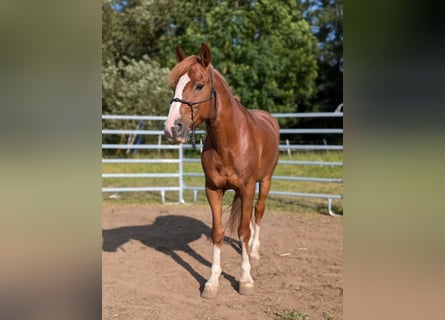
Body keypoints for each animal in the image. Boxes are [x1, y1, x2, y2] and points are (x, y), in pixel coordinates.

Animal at [163, 43, 280, 298]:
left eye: (199, 85)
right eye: (174, 85)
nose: (171, 128)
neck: (229, 141)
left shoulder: (247, 188)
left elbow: (244, 231)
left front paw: (245, 280)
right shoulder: (213, 189)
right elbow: (218, 232)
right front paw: (212, 282)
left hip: (265, 181)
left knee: (258, 212)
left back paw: (254, 252)